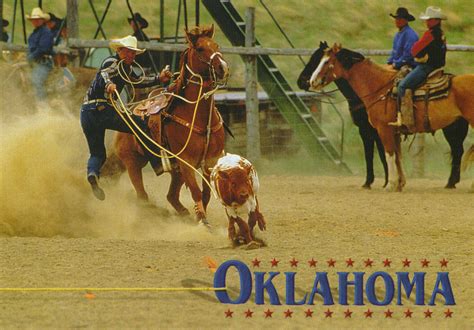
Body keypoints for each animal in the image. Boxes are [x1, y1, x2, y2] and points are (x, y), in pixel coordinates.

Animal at [108, 25, 230, 222]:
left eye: (216, 45)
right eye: (200, 48)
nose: (223, 67)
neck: (199, 116)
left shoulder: (210, 161)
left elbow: (205, 194)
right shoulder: (186, 162)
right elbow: (196, 192)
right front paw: (203, 223)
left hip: (174, 170)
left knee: (171, 196)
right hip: (132, 162)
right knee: (143, 196)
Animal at [298, 42, 468, 189]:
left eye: (321, 60)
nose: (306, 81)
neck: (377, 88)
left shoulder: (375, 130)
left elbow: (381, 154)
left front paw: (384, 183)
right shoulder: (383, 131)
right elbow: (392, 155)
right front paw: (396, 182)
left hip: (452, 128)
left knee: (457, 150)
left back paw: (451, 182)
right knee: (458, 150)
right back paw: (452, 182)